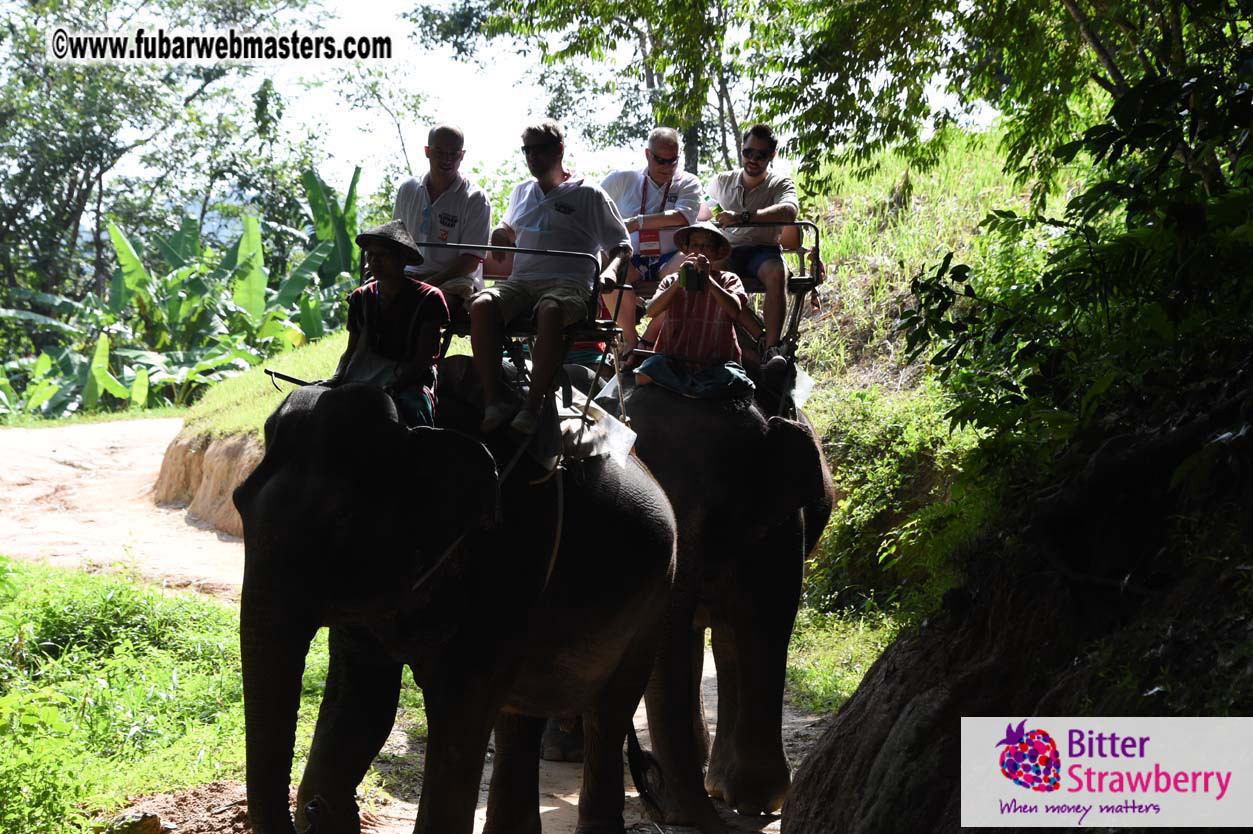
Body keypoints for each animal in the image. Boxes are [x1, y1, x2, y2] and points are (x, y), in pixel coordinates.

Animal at [233, 366, 725, 834]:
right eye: (238, 502)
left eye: (340, 522)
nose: (311, 812)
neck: (417, 424)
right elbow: (359, 701)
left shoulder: (511, 557)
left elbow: (459, 709)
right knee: (518, 713)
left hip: (657, 595)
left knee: (610, 708)